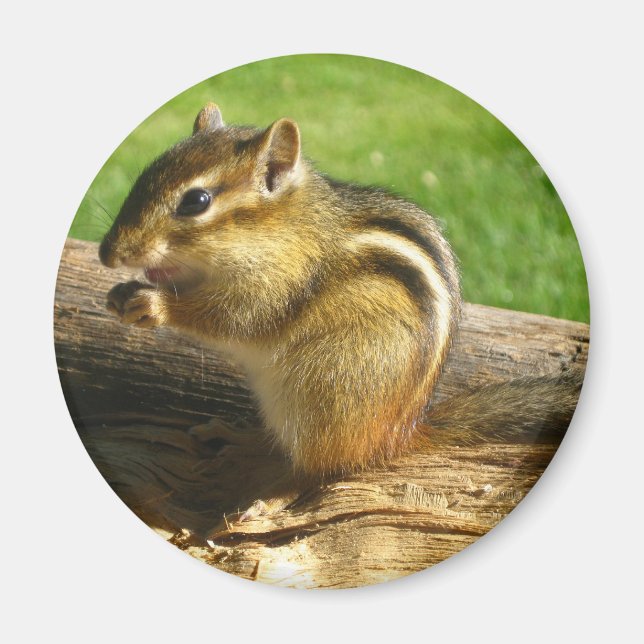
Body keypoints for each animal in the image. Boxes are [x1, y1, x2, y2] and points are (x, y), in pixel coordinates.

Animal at [99, 102, 583, 480]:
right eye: (144, 175)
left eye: (196, 201)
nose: (107, 254)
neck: (283, 229)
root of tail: (398, 434)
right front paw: (120, 293)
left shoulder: (277, 286)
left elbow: (233, 318)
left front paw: (153, 304)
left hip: (323, 390)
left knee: (311, 466)